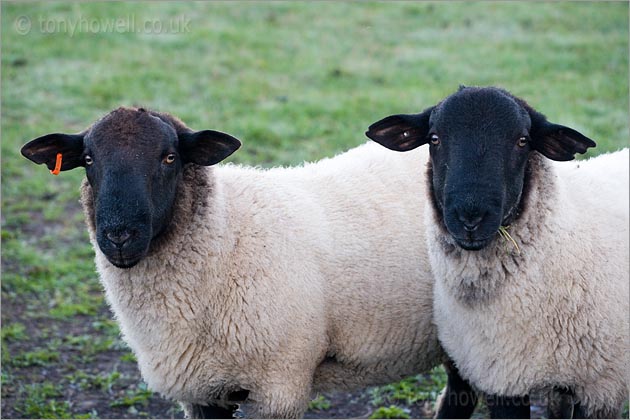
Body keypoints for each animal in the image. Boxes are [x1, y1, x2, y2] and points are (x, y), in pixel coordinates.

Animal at [21, 106, 478, 418]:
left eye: (170, 158)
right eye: (89, 160)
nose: (119, 236)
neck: (226, 237)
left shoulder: (278, 387)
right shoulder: (202, 393)